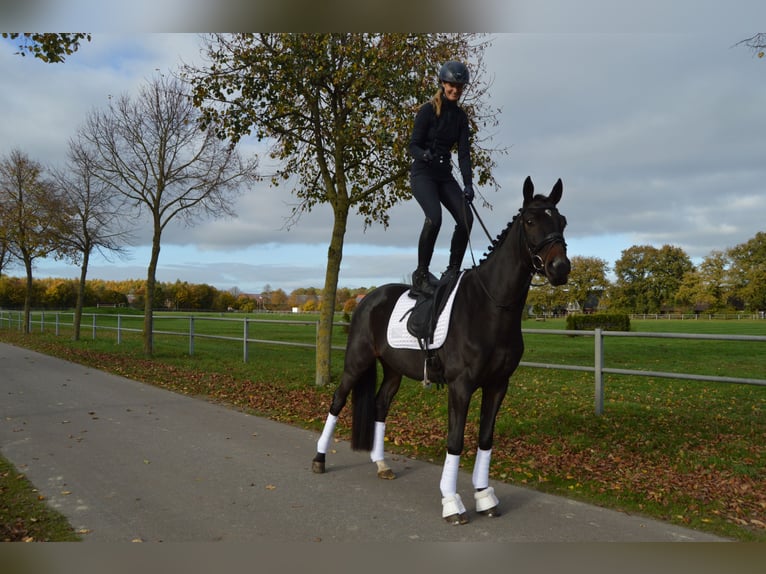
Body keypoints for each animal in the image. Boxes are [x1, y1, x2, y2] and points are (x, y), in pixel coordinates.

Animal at [312, 177, 568, 528]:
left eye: (562, 222)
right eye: (530, 221)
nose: (561, 267)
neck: (490, 305)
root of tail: (369, 298)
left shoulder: (498, 385)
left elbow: (485, 439)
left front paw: (484, 496)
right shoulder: (461, 386)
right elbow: (455, 440)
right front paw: (452, 502)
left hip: (393, 371)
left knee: (380, 406)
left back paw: (381, 464)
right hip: (357, 362)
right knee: (337, 401)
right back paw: (319, 459)